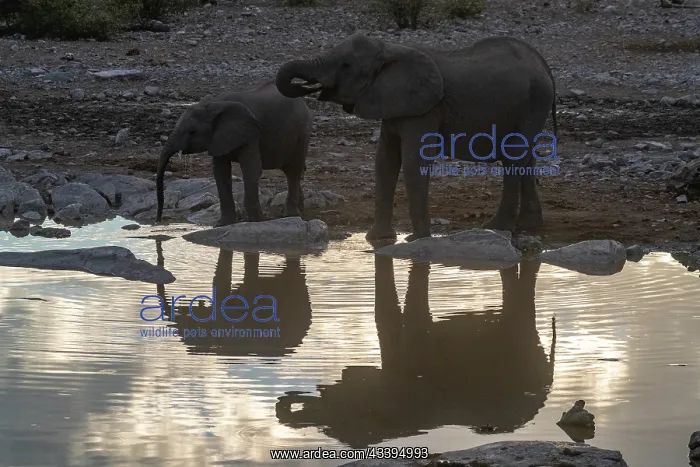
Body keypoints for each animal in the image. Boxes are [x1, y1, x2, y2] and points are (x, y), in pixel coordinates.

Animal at [155, 81, 313, 226]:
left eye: (192, 132)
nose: (158, 221)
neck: (215, 105)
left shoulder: (251, 133)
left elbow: (251, 168)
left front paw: (255, 222)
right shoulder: (218, 138)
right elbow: (221, 172)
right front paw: (223, 224)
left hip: (303, 132)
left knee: (293, 170)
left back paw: (290, 215)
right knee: (289, 170)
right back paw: (300, 209)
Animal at [276, 33, 558, 241]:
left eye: (347, 65)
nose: (307, 86)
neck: (391, 50)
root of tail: (542, 62)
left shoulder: (426, 109)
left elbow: (413, 163)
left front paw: (416, 239)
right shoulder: (392, 104)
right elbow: (385, 163)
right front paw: (376, 239)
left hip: (533, 100)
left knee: (514, 157)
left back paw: (496, 227)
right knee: (526, 157)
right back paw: (528, 226)